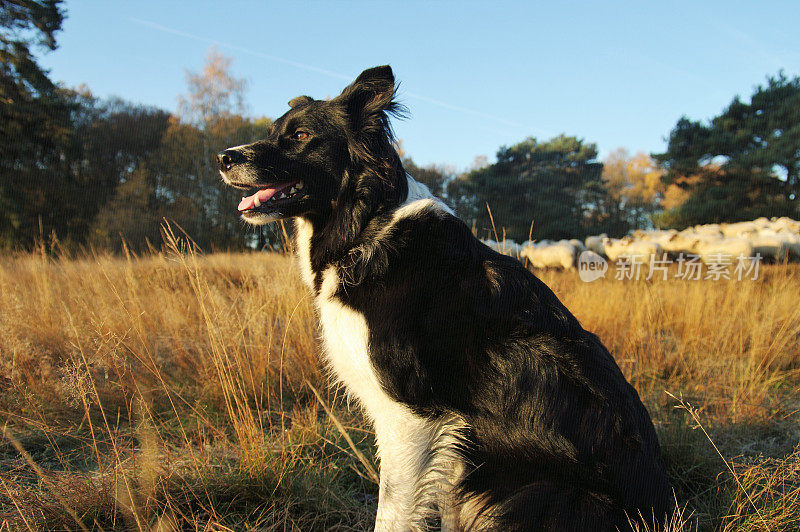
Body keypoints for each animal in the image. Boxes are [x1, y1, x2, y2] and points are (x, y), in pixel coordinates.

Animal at [216, 67, 672, 532]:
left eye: (301, 135)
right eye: (272, 132)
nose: (223, 158)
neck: (365, 227)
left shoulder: (411, 413)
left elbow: (393, 512)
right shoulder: (444, 437)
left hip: (537, 495)